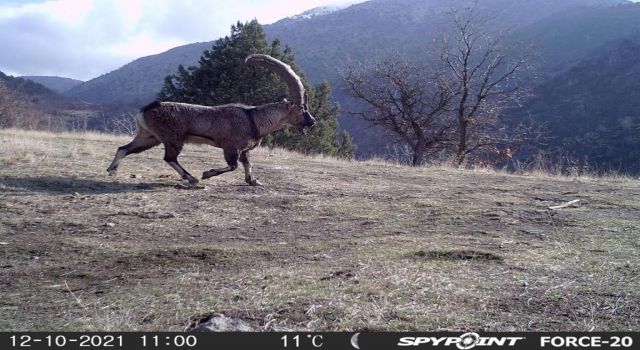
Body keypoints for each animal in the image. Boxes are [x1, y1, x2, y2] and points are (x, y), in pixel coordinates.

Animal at [106, 54, 316, 186]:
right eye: (302, 109)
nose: (312, 122)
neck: (254, 119)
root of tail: (147, 109)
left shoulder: (244, 149)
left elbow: (247, 163)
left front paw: (253, 181)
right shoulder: (231, 146)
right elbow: (233, 165)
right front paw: (207, 174)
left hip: (149, 137)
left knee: (124, 148)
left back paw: (112, 170)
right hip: (173, 138)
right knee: (169, 158)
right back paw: (192, 178)